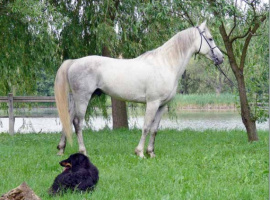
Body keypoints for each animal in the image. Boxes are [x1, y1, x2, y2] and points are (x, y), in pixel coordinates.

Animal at [54, 20, 224, 158]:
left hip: (75, 99)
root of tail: (74, 62)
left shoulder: (162, 105)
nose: (221, 58)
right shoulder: (153, 103)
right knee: (77, 122)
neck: (165, 64)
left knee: (68, 118)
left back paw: (61, 149)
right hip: (83, 98)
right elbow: (146, 127)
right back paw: (83, 151)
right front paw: (140, 152)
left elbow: (154, 129)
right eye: (210, 38)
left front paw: (151, 152)